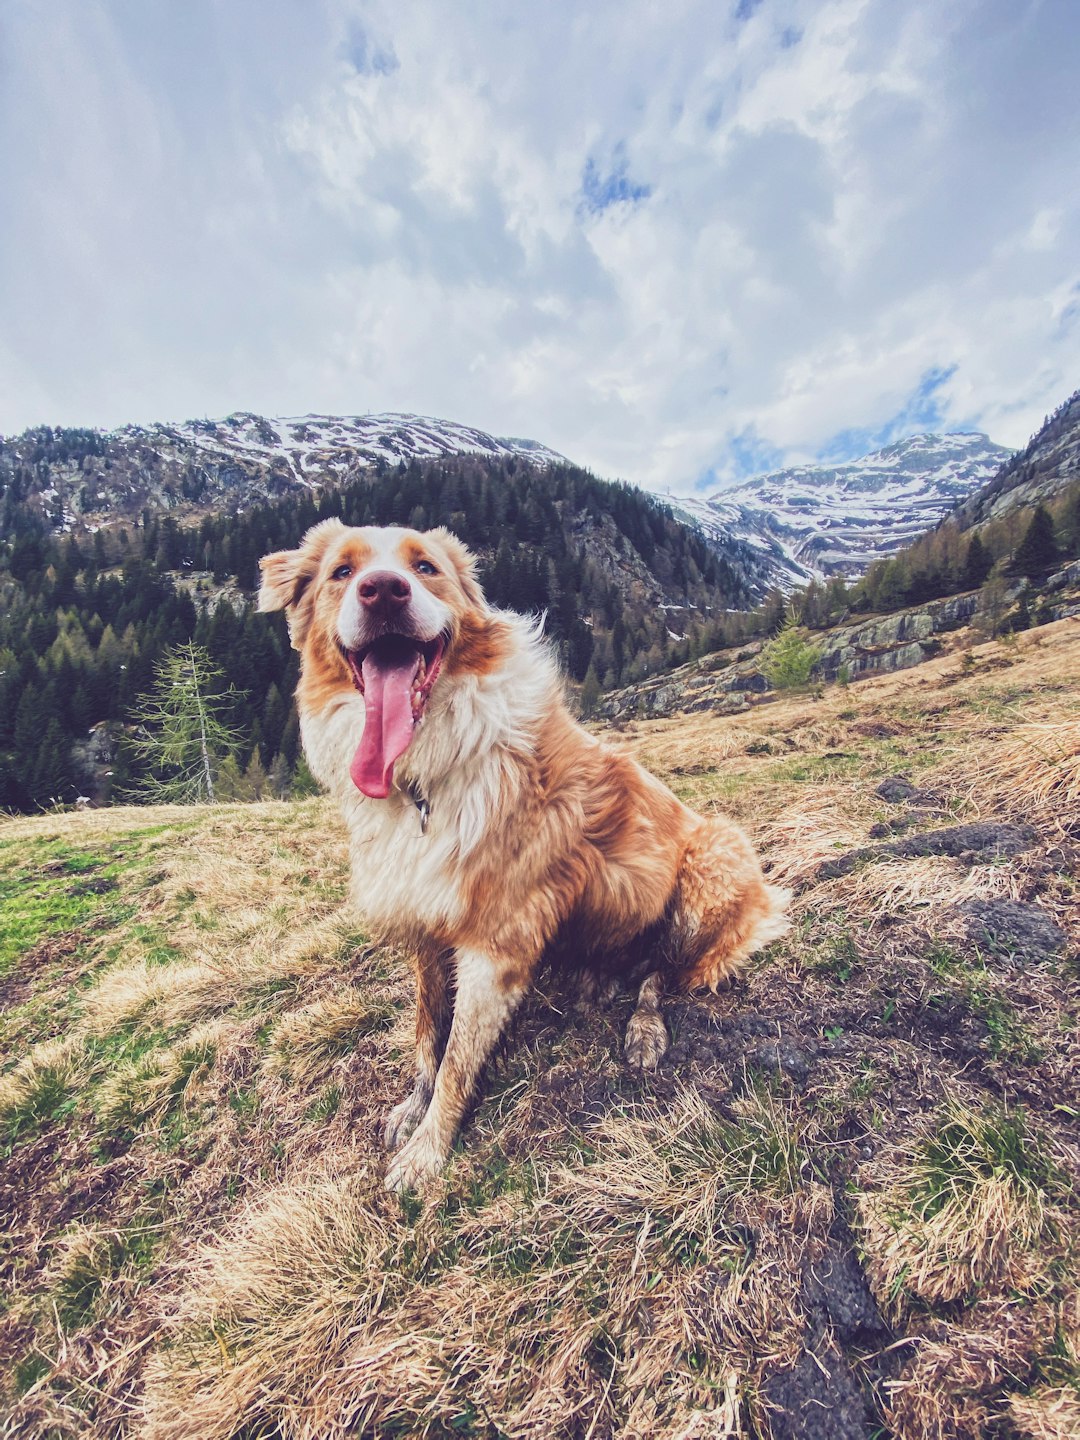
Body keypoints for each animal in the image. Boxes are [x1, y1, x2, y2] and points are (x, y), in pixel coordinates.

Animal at [257, 521, 789, 1192]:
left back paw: (643, 1026)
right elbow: (427, 1030)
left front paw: (428, 1152)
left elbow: (458, 1058)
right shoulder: (424, 921)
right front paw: (414, 1104)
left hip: (712, 862)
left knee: (660, 972)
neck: (424, 778)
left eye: (425, 568)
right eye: (342, 573)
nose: (383, 591)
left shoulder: (495, 944)